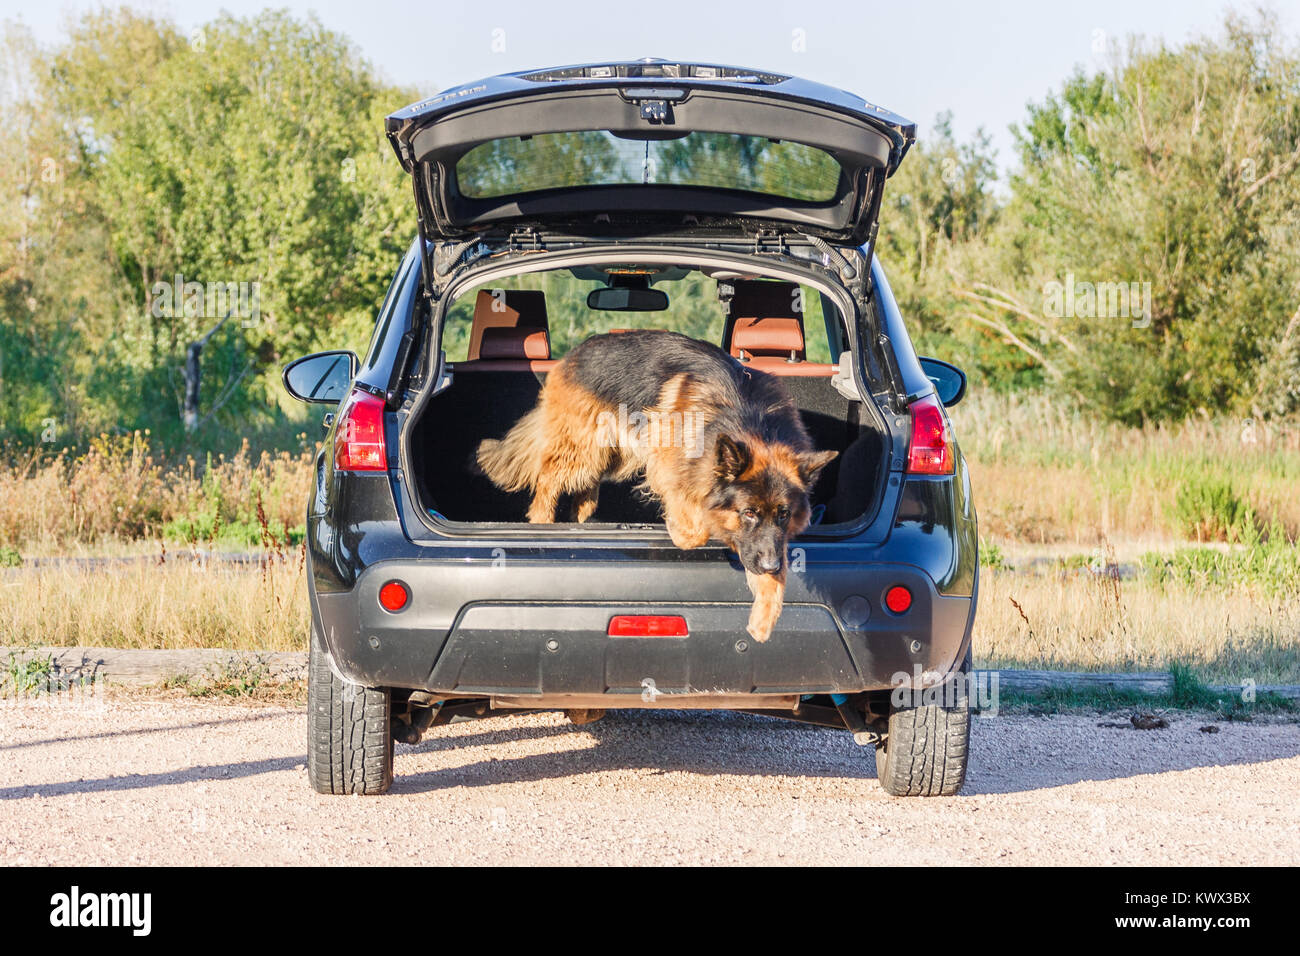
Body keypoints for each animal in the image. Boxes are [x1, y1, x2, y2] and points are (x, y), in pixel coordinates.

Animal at [475, 329, 832, 642]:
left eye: (784, 515)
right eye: (748, 513)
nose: (769, 566)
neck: (747, 418)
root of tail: (578, 351)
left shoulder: (769, 539)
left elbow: (773, 567)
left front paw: (765, 617)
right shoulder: (668, 458)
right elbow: (693, 523)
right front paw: (680, 527)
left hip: (611, 453)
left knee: (586, 491)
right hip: (584, 448)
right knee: (548, 479)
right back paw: (544, 522)